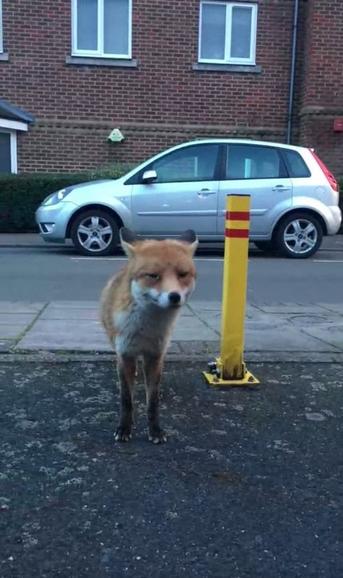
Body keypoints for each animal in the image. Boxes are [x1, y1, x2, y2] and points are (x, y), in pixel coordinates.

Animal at [101, 227, 198, 444]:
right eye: (153, 276)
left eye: (182, 274)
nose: (174, 296)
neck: (146, 329)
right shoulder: (125, 353)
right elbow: (126, 399)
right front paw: (124, 428)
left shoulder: (155, 355)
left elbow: (152, 401)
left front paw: (155, 430)